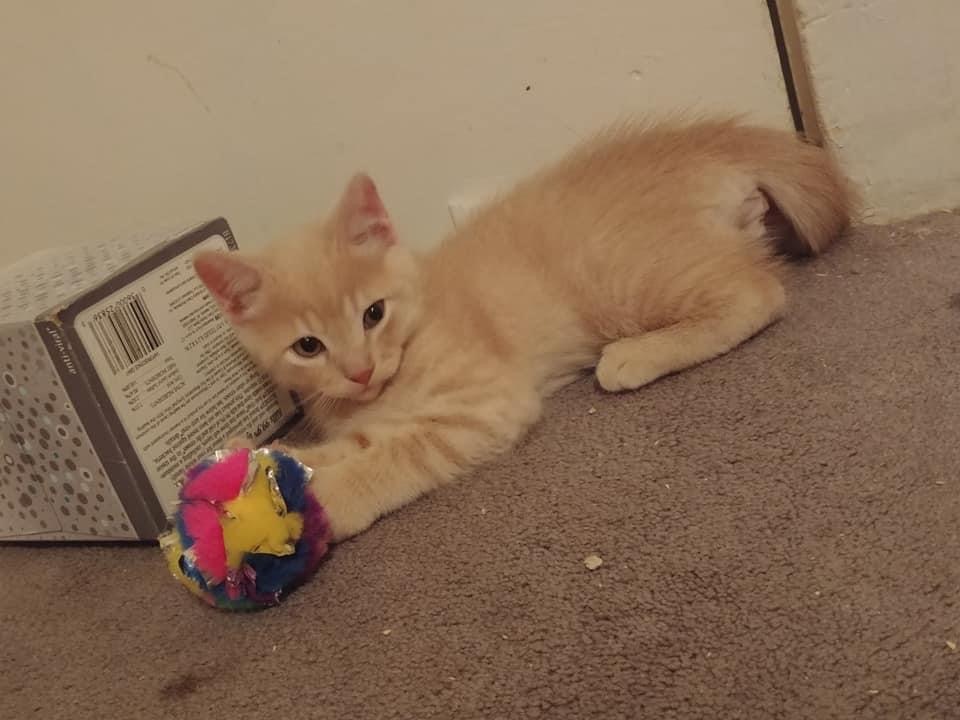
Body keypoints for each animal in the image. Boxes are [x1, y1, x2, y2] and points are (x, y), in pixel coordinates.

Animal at [193, 118, 856, 544]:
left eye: (373, 314)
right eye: (308, 347)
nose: (359, 369)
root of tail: (701, 145)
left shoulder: (484, 404)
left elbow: (399, 455)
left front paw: (326, 502)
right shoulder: (367, 419)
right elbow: (342, 448)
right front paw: (265, 463)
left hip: (618, 276)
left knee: (758, 293)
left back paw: (633, 355)